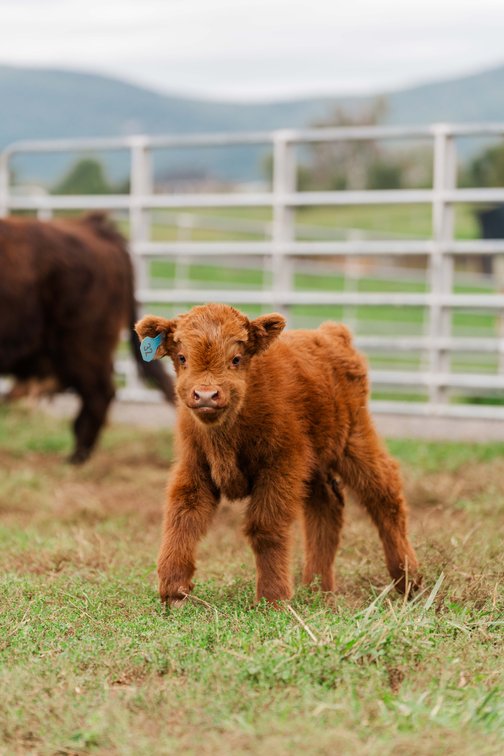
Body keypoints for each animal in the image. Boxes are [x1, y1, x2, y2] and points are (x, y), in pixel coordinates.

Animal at [135, 303, 420, 605]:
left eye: (236, 359)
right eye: (182, 357)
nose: (206, 395)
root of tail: (331, 334)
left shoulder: (281, 466)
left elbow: (265, 527)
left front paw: (273, 597)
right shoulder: (195, 467)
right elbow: (183, 516)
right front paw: (174, 589)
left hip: (355, 441)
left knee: (384, 495)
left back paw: (408, 579)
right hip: (316, 465)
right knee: (327, 507)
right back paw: (317, 588)